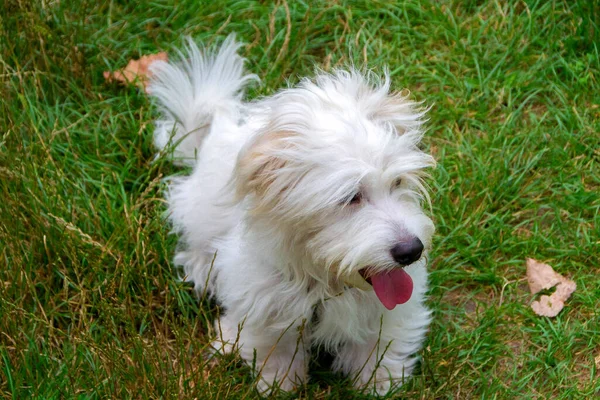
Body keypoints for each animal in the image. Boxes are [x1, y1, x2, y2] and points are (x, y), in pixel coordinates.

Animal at [148, 35, 434, 396]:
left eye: (397, 182)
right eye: (351, 197)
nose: (411, 251)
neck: (326, 280)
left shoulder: (387, 309)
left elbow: (380, 341)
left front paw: (380, 380)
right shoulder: (263, 302)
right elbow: (275, 345)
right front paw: (280, 382)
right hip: (201, 210)